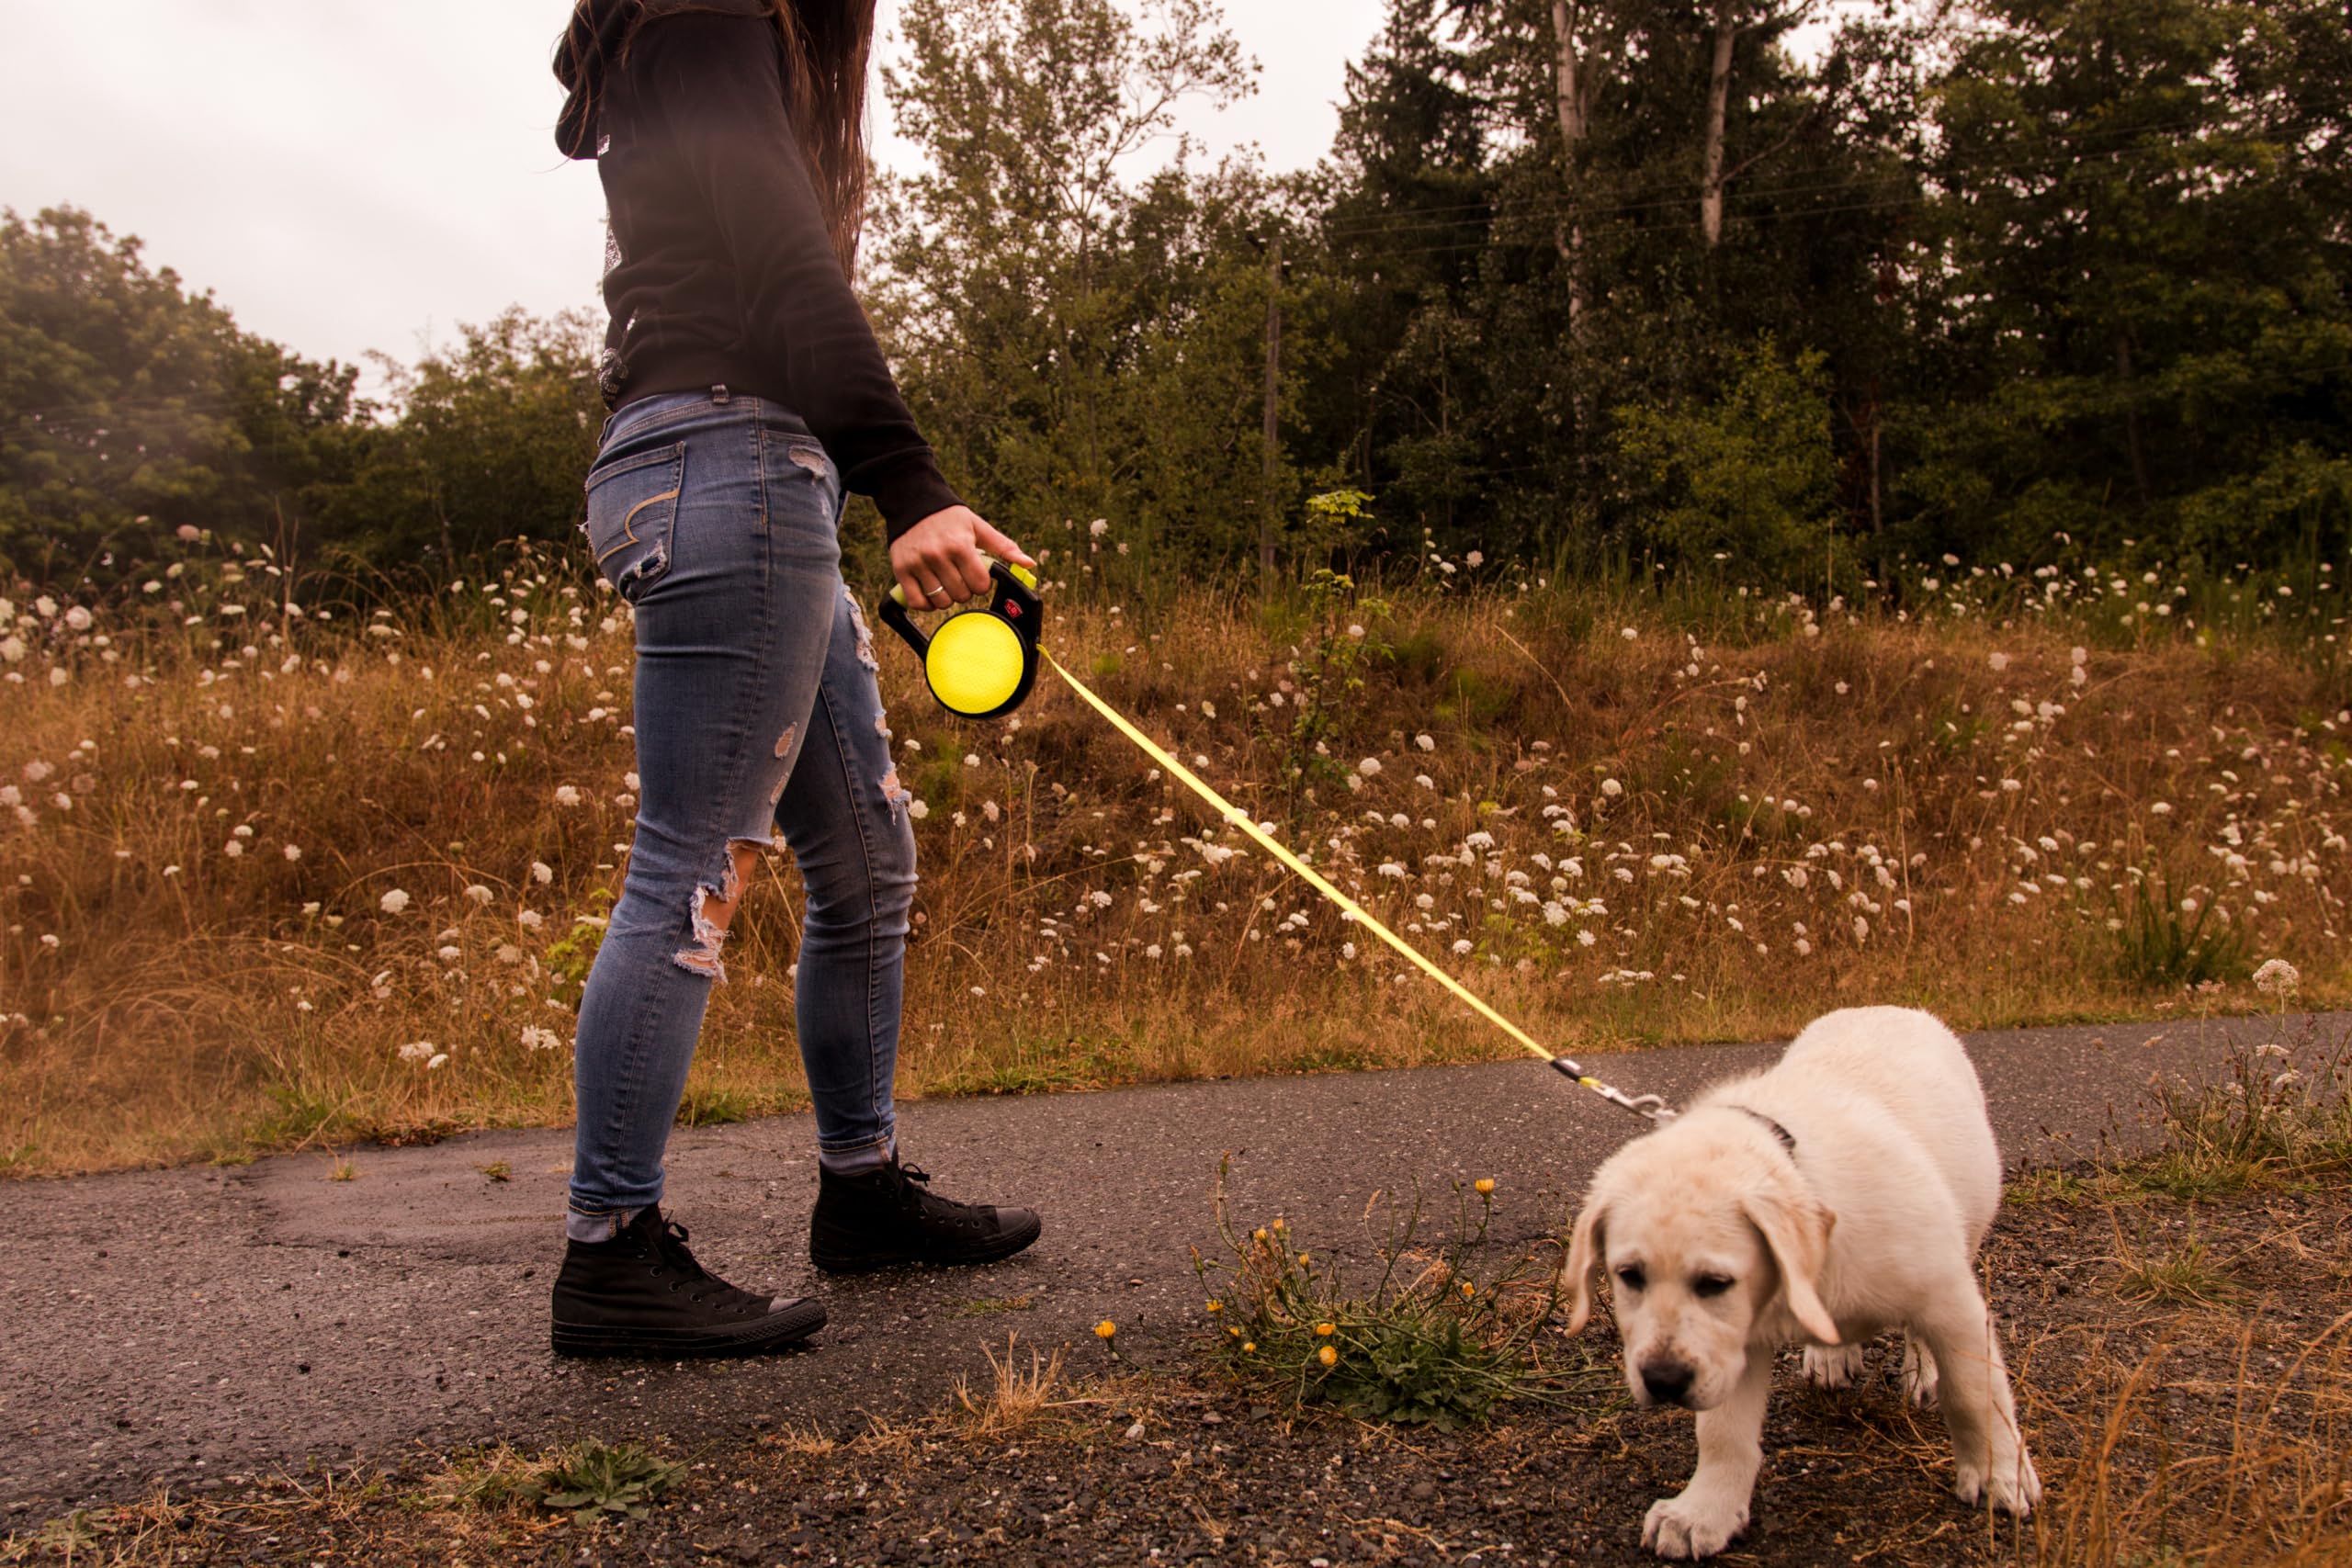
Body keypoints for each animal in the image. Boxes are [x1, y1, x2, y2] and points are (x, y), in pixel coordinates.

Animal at [1561, 1006, 2041, 1561]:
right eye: (1629, 1276)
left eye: (1716, 1282)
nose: (1662, 1382)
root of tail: (1885, 1006)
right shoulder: (1736, 1346)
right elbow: (1722, 1433)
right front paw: (1703, 1511)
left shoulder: (1949, 1300)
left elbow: (1973, 1393)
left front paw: (1997, 1475)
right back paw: (1831, 1355)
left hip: (1964, 1232)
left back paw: (1922, 1370)